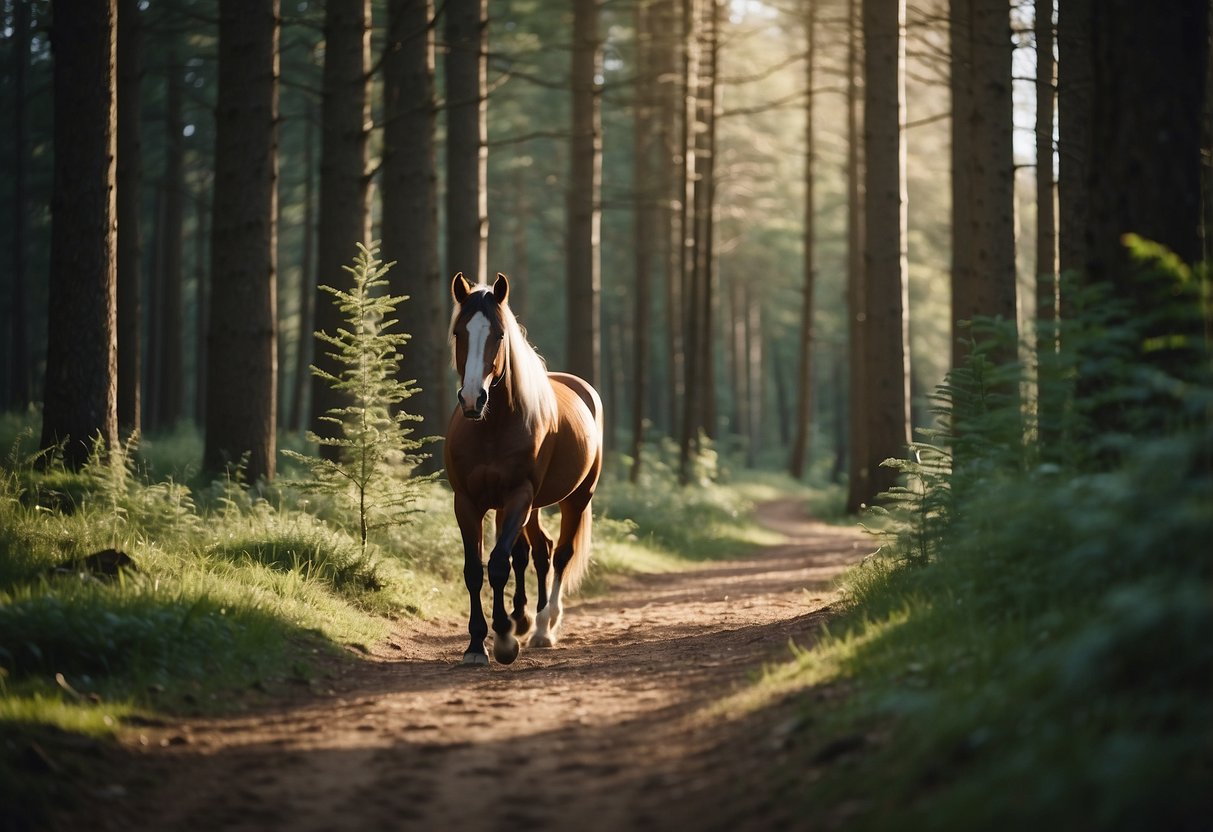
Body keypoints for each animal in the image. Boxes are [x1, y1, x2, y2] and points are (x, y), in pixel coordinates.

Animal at [443, 276, 604, 669]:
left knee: (560, 554)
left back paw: (544, 627)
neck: (491, 427)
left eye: (500, 334)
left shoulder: (517, 496)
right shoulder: (467, 503)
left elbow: (499, 563)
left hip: (575, 499)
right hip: (531, 507)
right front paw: (476, 643)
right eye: (458, 332)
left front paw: (503, 639)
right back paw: (527, 620)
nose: (472, 399)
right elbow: (475, 570)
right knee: (540, 550)